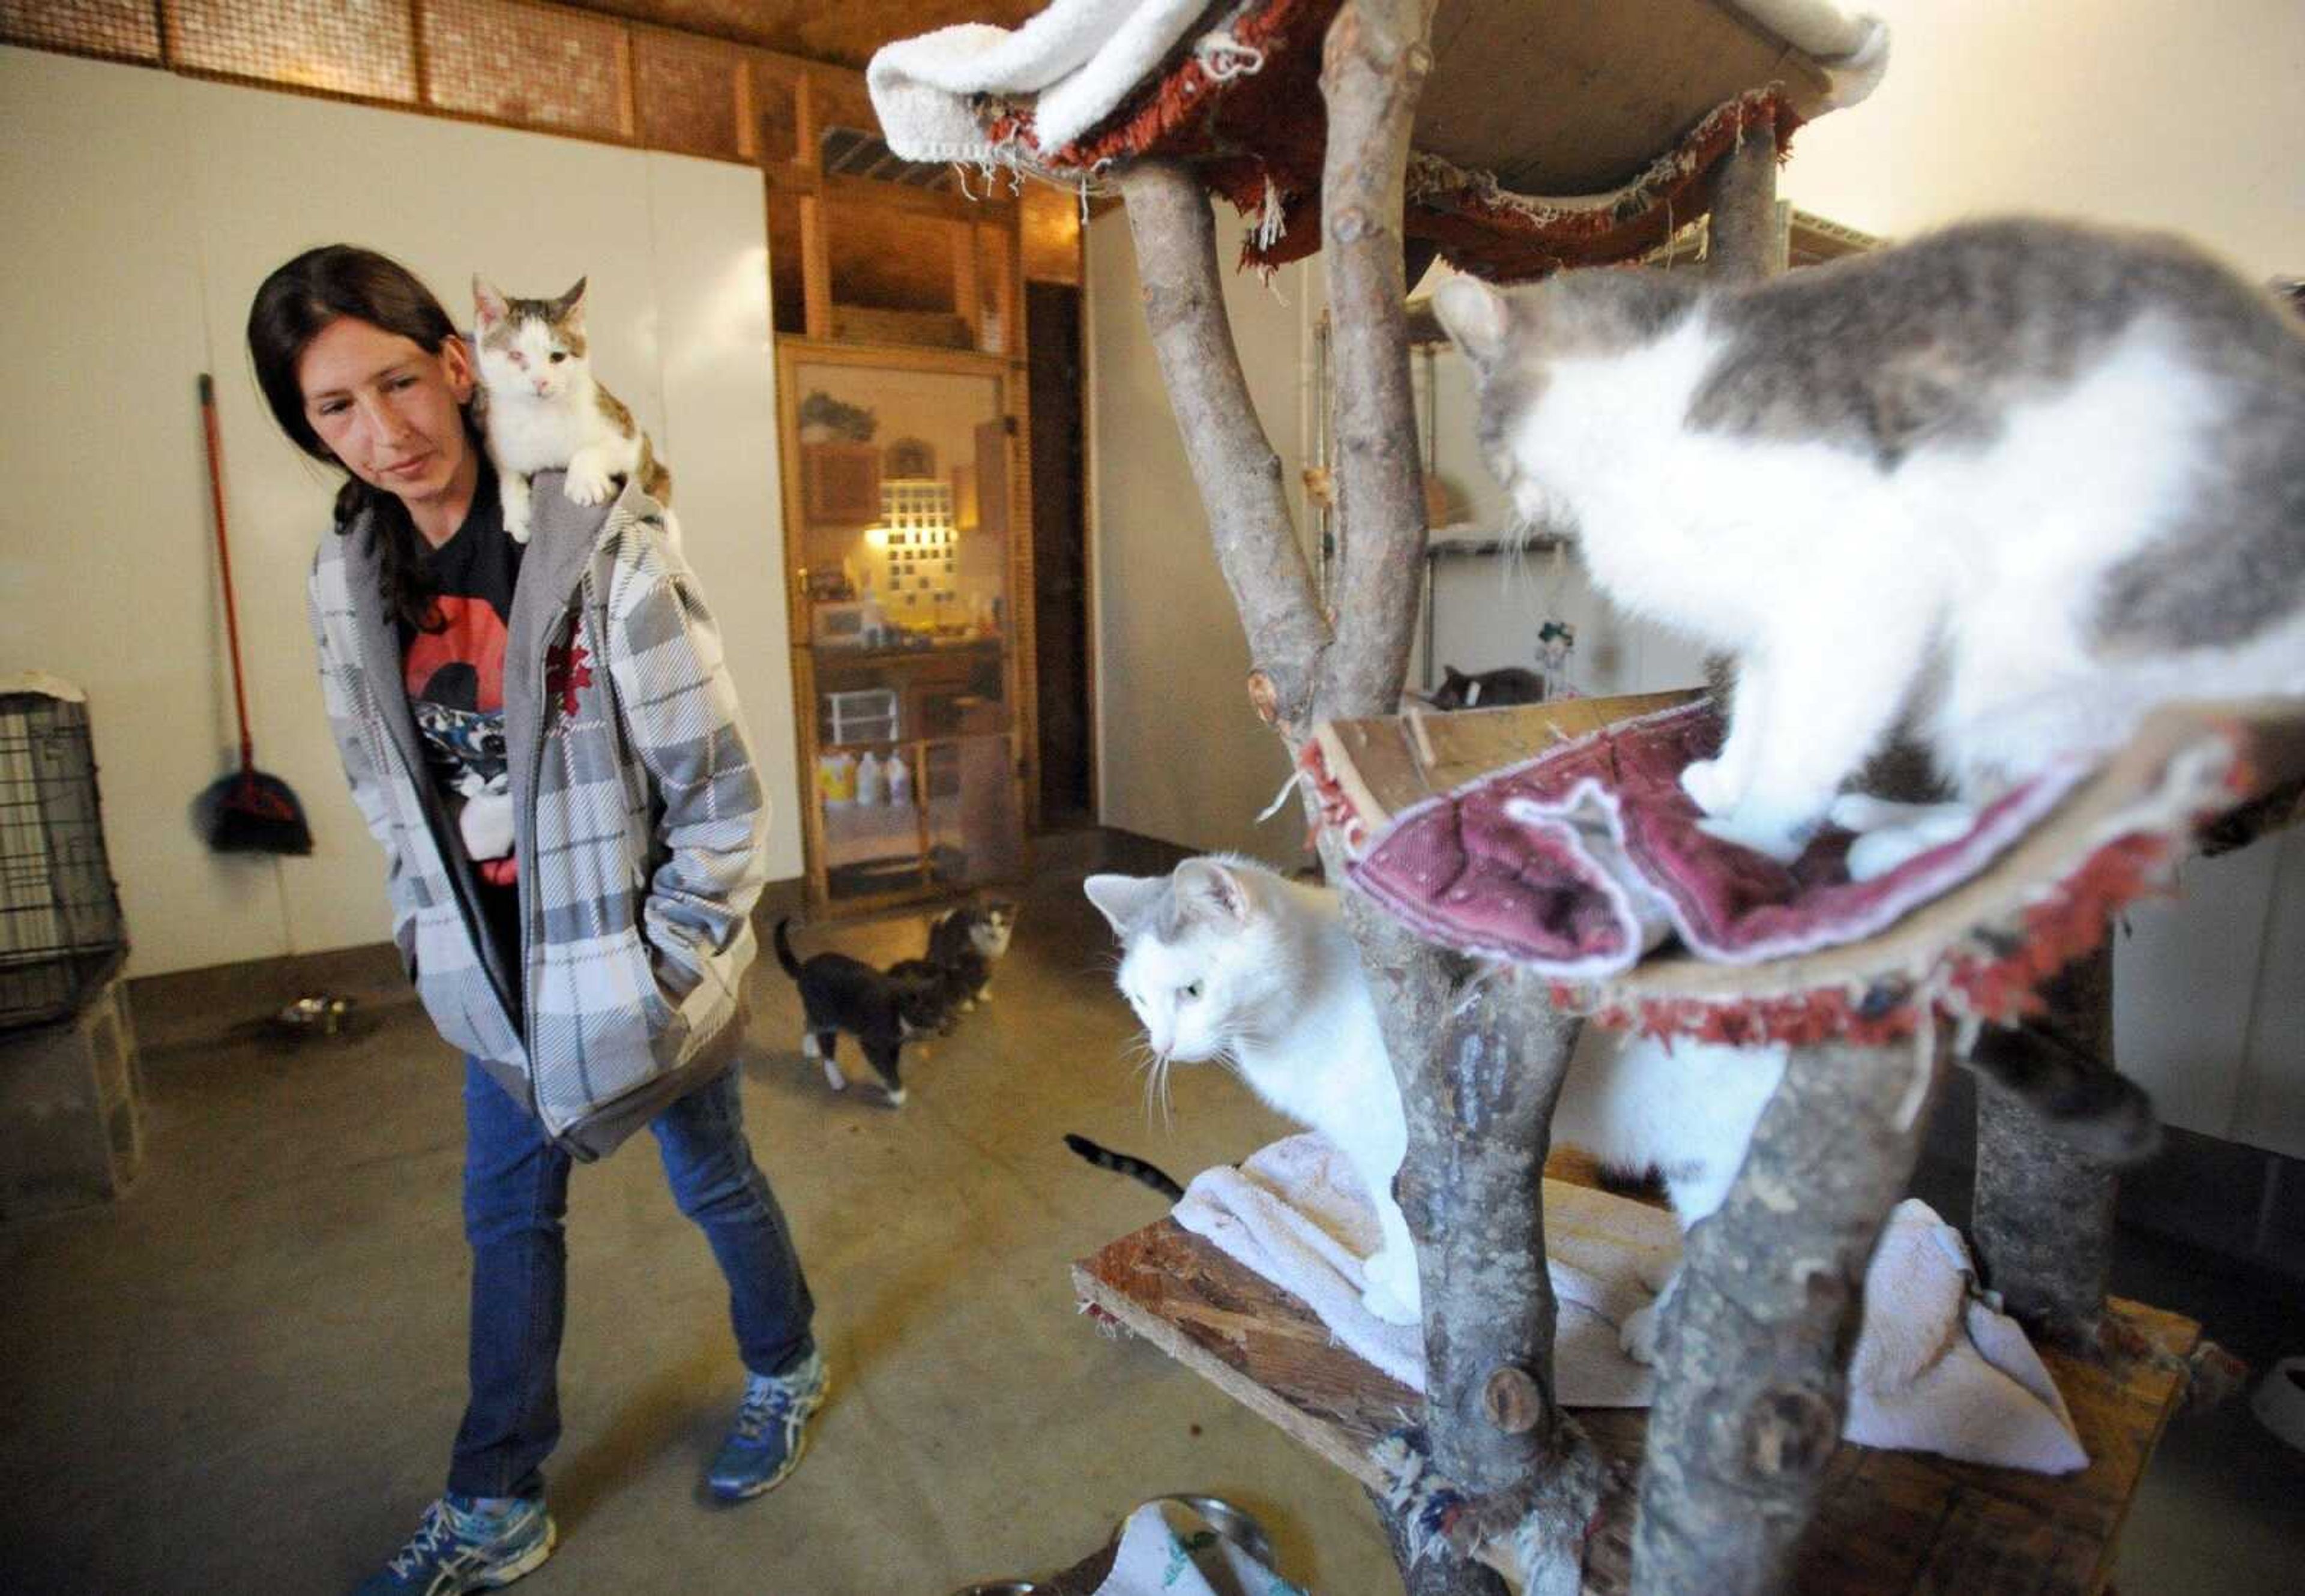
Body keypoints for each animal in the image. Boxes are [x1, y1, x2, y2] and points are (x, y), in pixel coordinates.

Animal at [472, 274, 673, 549]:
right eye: (515, 355)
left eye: (557, 357)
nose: (540, 381)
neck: (540, 417)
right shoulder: (496, 439)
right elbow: (508, 470)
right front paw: (515, 513)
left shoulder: (632, 435)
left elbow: (598, 449)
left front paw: (584, 482)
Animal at [774, 918, 945, 1102]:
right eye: (929, 1012)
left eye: (942, 1008)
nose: (944, 1022)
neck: (899, 1012)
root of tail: (804, 968)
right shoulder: (870, 1041)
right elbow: (886, 1066)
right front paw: (897, 1092)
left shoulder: (893, 1044)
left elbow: (890, 1063)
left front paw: (887, 1084)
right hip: (827, 1016)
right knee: (827, 1049)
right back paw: (835, 1079)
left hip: (818, 1010)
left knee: (808, 1022)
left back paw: (809, 1047)